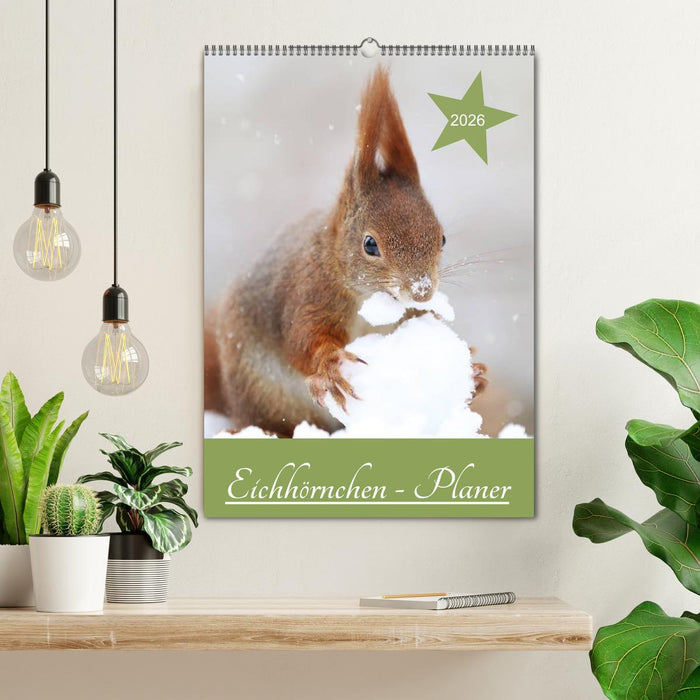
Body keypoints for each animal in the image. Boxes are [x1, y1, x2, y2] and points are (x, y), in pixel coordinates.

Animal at [205, 66, 487, 437]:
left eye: (441, 238)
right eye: (370, 244)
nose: (422, 292)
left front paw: (476, 373)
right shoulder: (309, 293)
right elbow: (303, 340)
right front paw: (329, 365)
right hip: (262, 395)